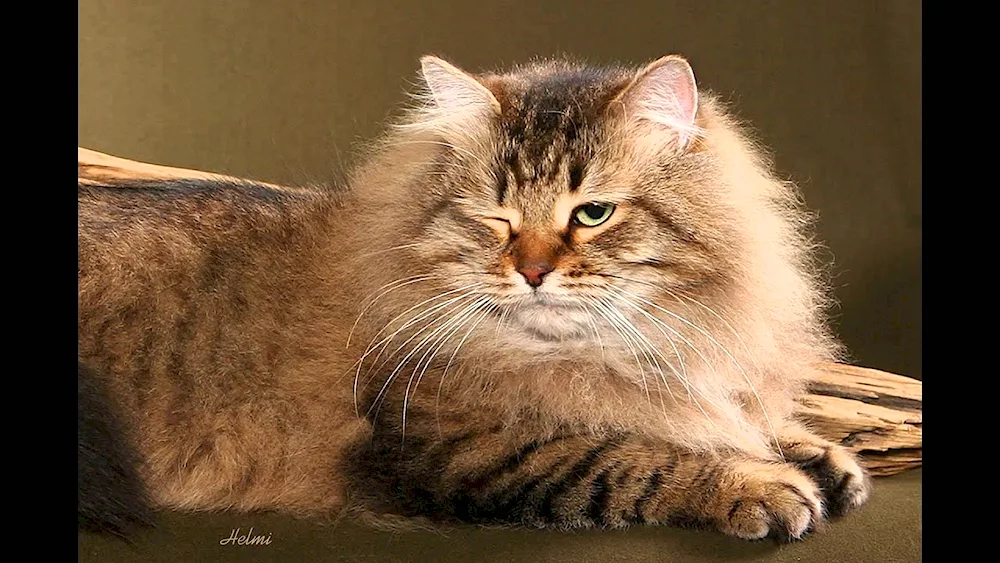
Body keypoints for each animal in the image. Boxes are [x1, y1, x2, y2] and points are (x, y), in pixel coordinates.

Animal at [80, 54, 876, 540]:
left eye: (593, 213)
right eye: (497, 219)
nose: (532, 272)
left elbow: (738, 417)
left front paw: (819, 455)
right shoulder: (470, 451)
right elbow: (633, 457)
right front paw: (760, 485)